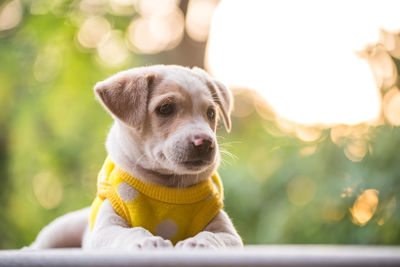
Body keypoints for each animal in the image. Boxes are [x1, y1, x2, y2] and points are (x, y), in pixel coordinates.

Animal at [29, 65, 242, 251]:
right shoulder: (105, 229)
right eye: (165, 108)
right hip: (61, 228)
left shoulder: (228, 233)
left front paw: (199, 243)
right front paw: (147, 241)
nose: (205, 142)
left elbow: (212, 235)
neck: (169, 185)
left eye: (211, 113)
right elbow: (130, 232)